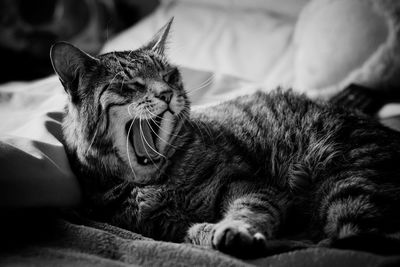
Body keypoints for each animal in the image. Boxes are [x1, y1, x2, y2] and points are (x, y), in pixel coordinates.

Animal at [50, 19, 400, 260]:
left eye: (168, 76)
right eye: (129, 84)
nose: (166, 93)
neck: (159, 182)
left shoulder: (248, 184)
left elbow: (250, 209)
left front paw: (232, 230)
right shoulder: (158, 227)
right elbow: (188, 233)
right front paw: (209, 233)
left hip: (350, 184)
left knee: (358, 238)